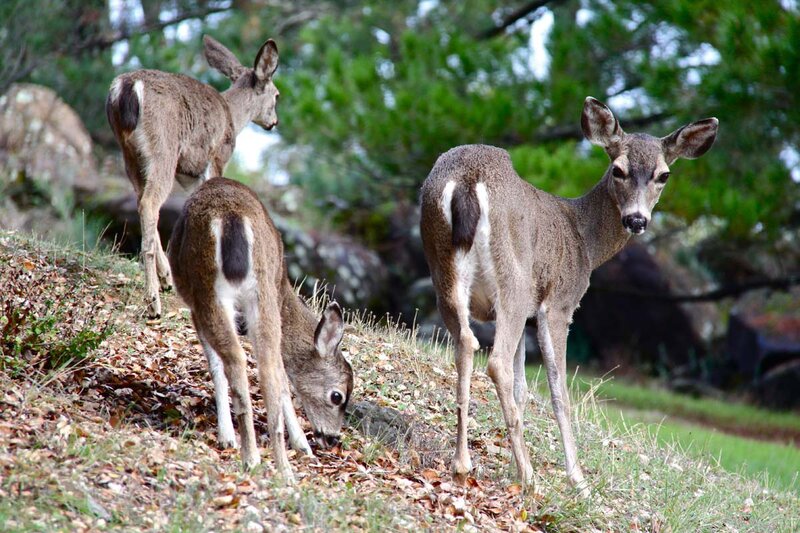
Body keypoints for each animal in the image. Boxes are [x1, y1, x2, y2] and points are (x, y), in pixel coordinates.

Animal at [106, 35, 281, 319]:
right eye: (277, 95)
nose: (273, 122)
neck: (232, 117)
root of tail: (127, 87)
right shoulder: (218, 157)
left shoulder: (189, 174)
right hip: (163, 147)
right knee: (149, 203)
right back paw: (153, 302)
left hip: (129, 154)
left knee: (141, 200)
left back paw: (164, 280)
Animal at [167, 177, 354, 480]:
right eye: (337, 396)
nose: (333, 437)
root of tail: (233, 218)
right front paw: (302, 445)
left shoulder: (194, 308)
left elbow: (215, 366)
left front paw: (226, 436)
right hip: (260, 297)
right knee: (268, 369)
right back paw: (283, 469)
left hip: (208, 292)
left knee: (236, 359)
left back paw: (250, 456)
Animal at [420, 97, 718, 496]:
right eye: (618, 169)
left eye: (663, 175)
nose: (637, 220)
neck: (584, 241)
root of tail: (468, 180)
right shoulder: (558, 304)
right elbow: (559, 391)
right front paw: (576, 479)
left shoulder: (526, 313)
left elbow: (523, 389)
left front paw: (512, 466)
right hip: (514, 280)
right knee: (495, 361)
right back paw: (531, 478)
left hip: (444, 273)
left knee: (466, 343)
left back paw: (463, 465)